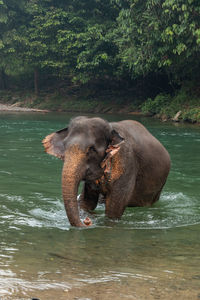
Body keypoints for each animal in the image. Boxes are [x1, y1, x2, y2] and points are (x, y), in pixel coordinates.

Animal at [42, 116, 170, 226]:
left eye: (92, 149)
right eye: (65, 146)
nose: (87, 221)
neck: (111, 128)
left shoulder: (126, 163)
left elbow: (114, 209)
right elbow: (87, 202)